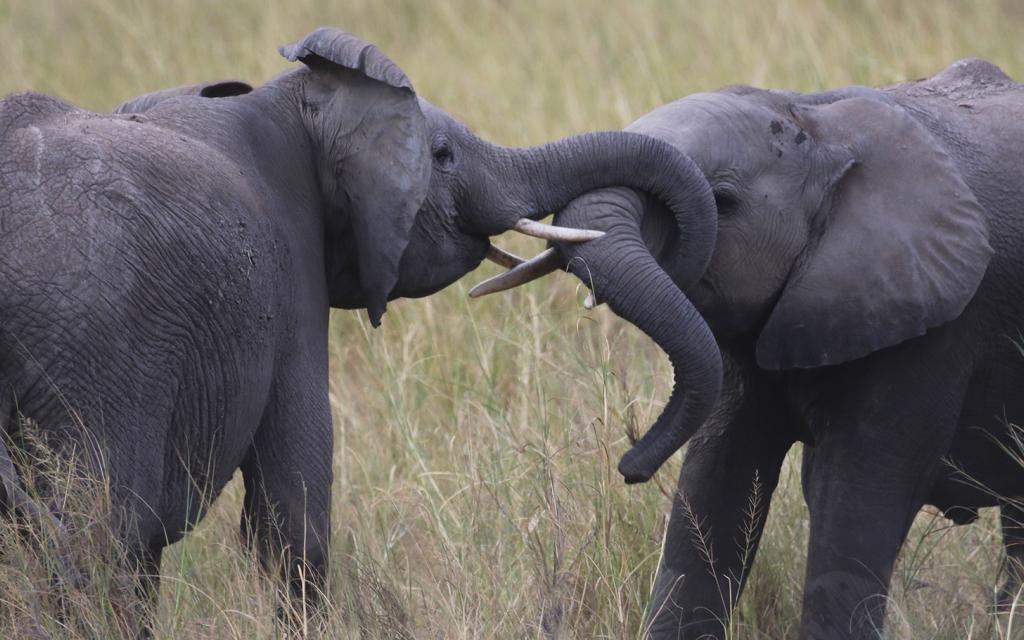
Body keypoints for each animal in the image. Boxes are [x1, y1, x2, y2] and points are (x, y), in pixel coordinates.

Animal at [0, 27, 712, 610]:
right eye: (443, 155)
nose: (628, 466)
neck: (295, 99)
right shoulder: (289, 271)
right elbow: (295, 515)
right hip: (96, 357)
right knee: (104, 539)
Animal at [473, 57, 1024, 634]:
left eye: (723, 202)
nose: (628, 468)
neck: (818, 122)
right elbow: (716, 484)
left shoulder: (934, 328)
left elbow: (853, 504)